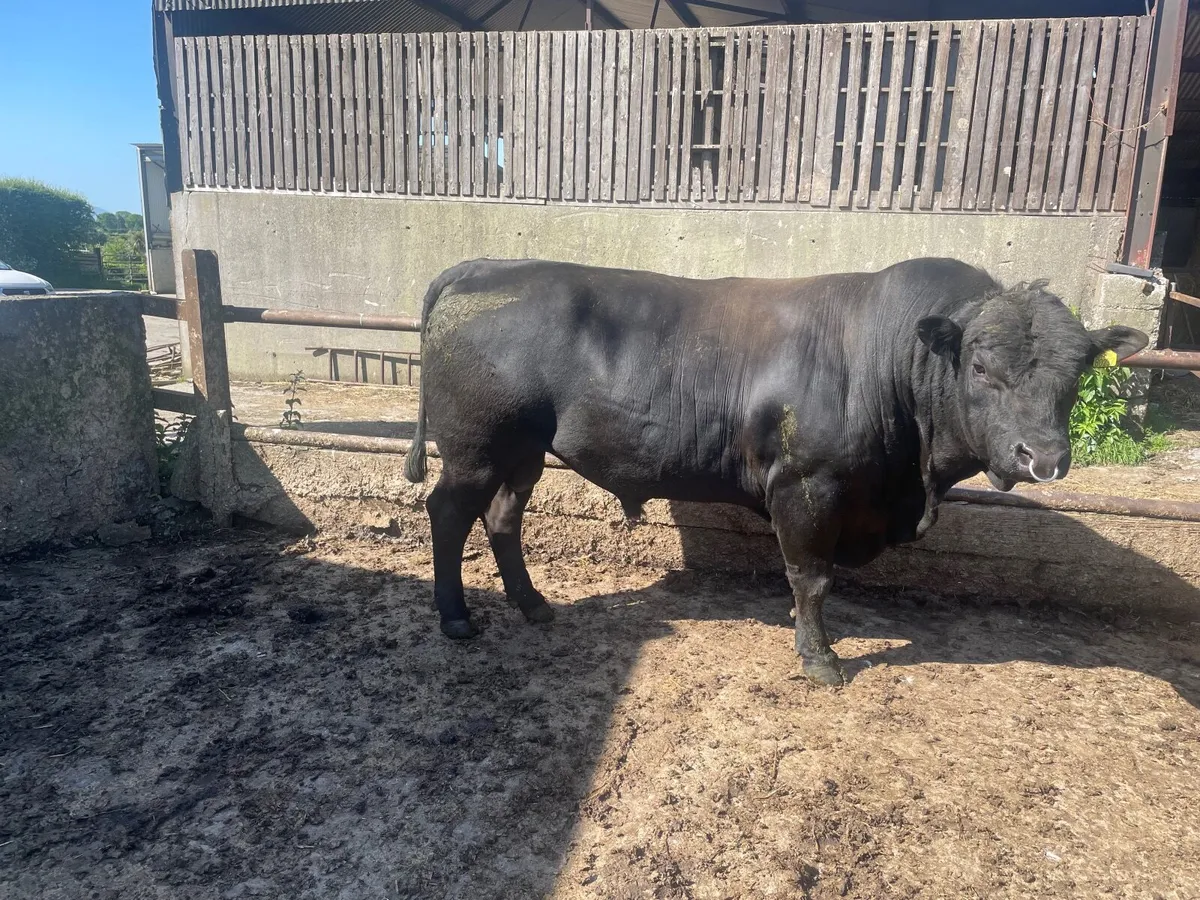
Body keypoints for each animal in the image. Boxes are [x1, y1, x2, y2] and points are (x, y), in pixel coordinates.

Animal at [403, 258, 1148, 686]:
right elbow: (811, 576)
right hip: (475, 447)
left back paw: (532, 603)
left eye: (1077, 374)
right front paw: (820, 658)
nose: (1042, 457)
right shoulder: (806, 486)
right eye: (982, 368)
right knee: (450, 513)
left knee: (502, 517)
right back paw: (457, 617)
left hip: (522, 453)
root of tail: (485, 266)